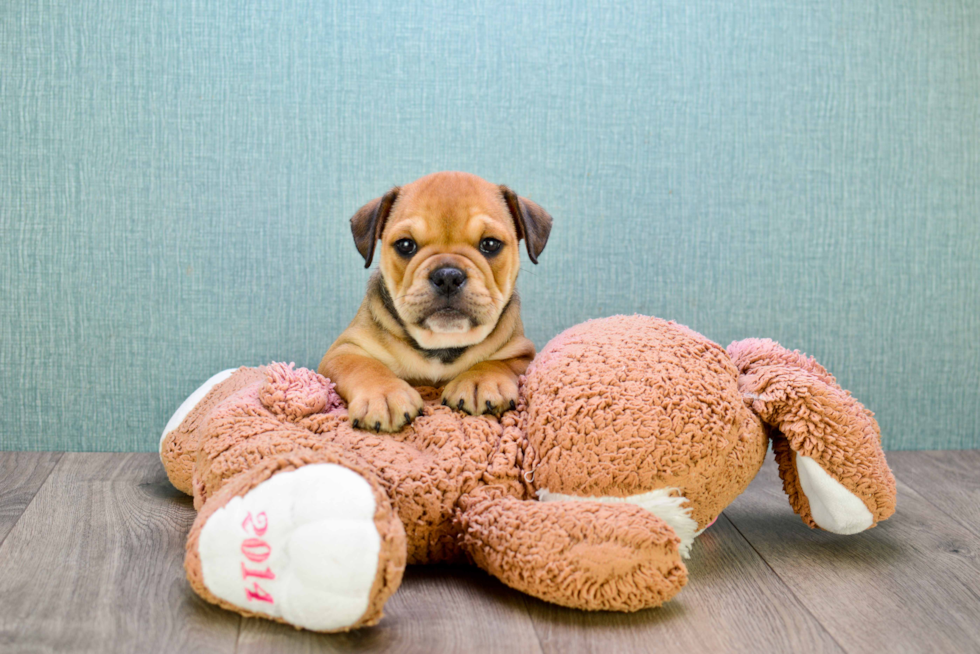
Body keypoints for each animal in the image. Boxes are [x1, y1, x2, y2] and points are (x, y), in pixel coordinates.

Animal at [320, 172, 552, 434]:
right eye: (405, 245)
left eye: (490, 244)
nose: (448, 276)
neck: (441, 343)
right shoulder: (343, 350)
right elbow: (363, 366)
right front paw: (384, 394)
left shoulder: (522, 351)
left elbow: (496, 363)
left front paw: (481, 381)